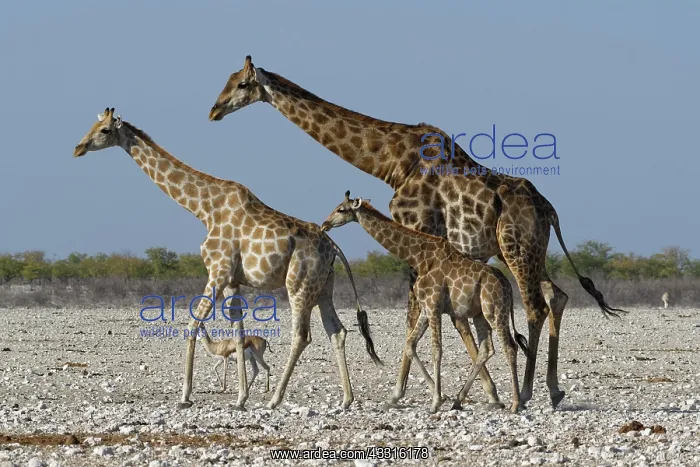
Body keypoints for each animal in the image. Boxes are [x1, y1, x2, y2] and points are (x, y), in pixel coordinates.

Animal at [73, 107, 381, 411]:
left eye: (104, 130)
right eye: (92, 125)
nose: (78, 148)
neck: (204, 209)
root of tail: (333, 246)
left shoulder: (217, 271)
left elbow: (192, 325)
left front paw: (185, 396)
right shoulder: (233, 279)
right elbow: (238, 330)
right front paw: (240, 398)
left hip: (299, 283)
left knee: (302, 335)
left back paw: (275, 399)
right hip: (324, 286)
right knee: (337, 331)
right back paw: (345, 400)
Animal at [321, 191, 532, 413]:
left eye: (341, 209)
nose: (325, 224)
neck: (418, 257)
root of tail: (508, 286)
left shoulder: (434, 305)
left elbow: (436, 351)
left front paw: (435, 401)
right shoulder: (426, 308)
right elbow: (410, 345)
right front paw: (437, 397)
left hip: (495, 310)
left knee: (510, 347)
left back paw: (515, 403)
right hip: (480, 314)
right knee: (487, 349)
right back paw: (459, 400)